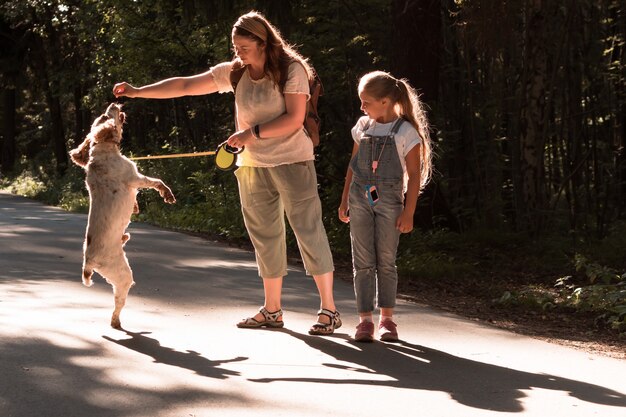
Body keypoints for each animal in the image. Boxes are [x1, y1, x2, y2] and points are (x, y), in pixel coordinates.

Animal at [69, 103, 174, 328]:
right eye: (105, 114)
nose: (115, 103)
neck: (102, 150)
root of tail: (88, 263)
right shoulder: (136, 178)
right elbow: (157, 182)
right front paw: (167, 194)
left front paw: (135, 208)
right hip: (123, 275)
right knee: (118, 303)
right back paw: (117, 323)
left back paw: (125, 237)